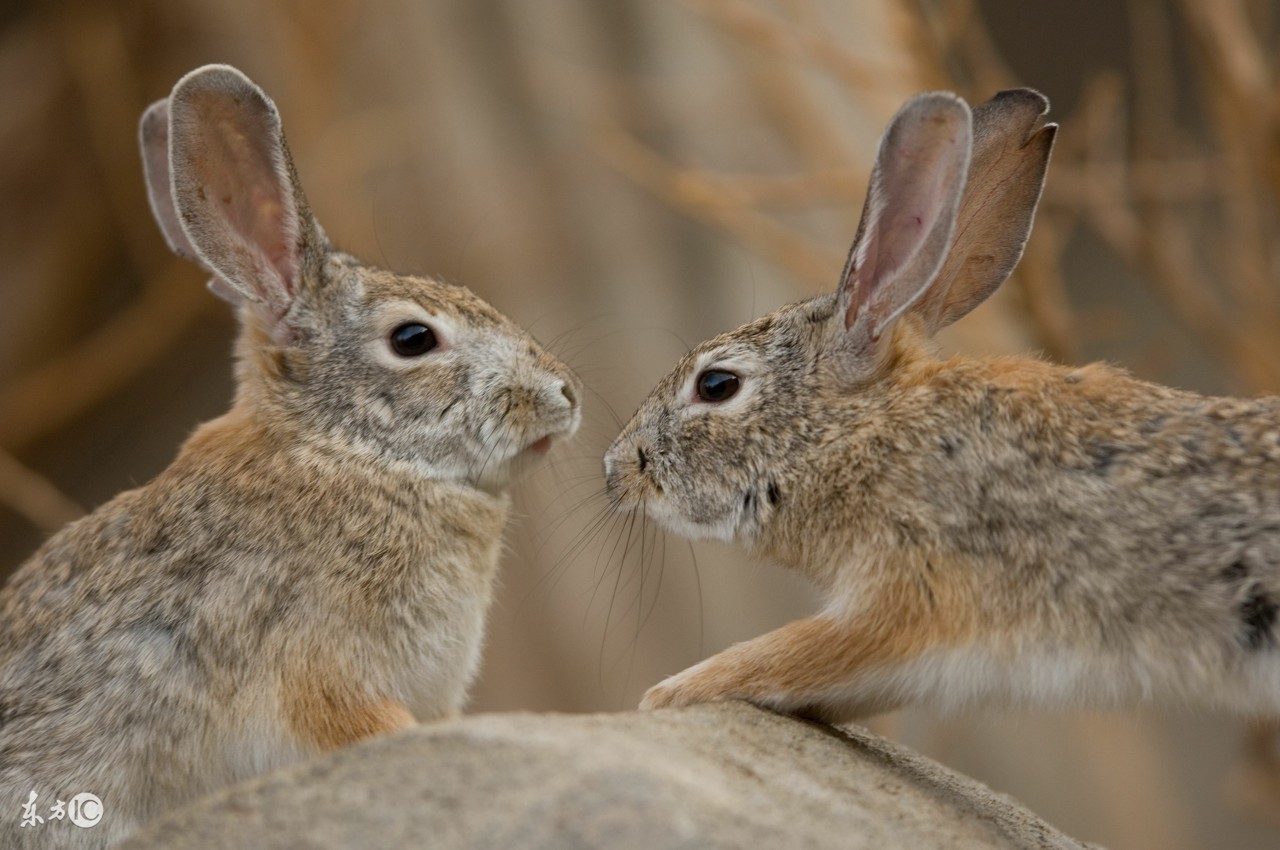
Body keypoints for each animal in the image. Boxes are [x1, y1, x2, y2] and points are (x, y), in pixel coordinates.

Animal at [604, 86, 1280, 727]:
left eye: (716, 385)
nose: (615, 467)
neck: (864, 434)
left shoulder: (912, 589)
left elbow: (794, 652)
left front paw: (670, 692)